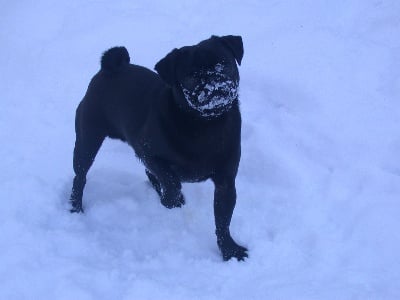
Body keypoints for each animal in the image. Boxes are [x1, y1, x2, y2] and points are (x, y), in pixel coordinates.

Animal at [70, 34, 248, 260]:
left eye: (224, 65)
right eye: (191, 77)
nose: (214, 84)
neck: (206, 124)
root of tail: (111, 68)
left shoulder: (225, 183)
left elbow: (223, 221)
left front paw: (229, 250)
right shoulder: (147, 150)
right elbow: (171, 181)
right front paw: (171, 200)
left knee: (149, 173)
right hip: (88, 140)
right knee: (80, 176)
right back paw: (75, 208)